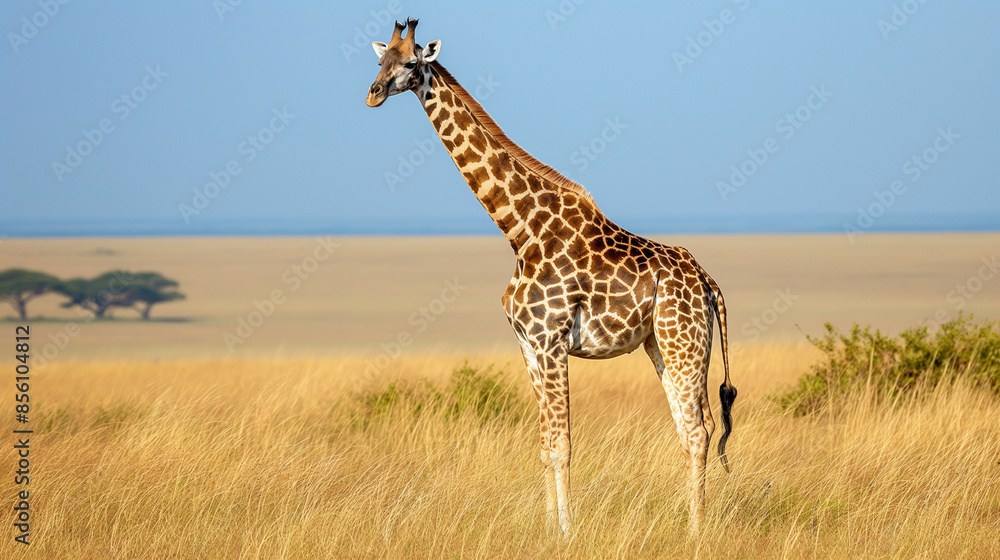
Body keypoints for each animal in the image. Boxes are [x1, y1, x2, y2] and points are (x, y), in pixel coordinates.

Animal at [365, 19, 737, 536]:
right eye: (380, 60)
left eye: (410, 62)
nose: (373, 93)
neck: (520, 231)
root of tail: (708, 283)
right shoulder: (527, 344)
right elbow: (543, 445)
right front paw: (546, 529)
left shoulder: (551, 340)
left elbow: (562, 446)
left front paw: (566, 532)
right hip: (662, 345)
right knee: (689, 430)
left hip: (684, 344)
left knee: (700, 432)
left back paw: (695, 532)